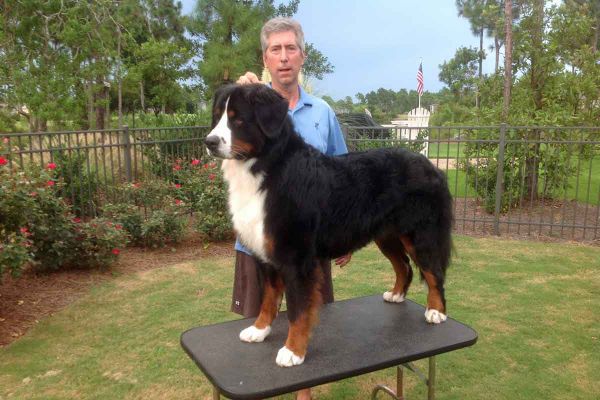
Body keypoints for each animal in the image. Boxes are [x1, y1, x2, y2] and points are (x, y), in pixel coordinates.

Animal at [204, 84, 452, 368]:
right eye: (217, 116)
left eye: (238, 119)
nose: (210, 142)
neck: (267, 168)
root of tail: (431, 166)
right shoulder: (267, 252)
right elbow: (268, 298)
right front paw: (259, 329)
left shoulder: (296, 258)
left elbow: (298, 310)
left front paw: (293, 351)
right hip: (387, 236)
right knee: (404, 267)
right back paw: (397, 294)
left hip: (420, 234)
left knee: (434, 272)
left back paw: (436, 311)